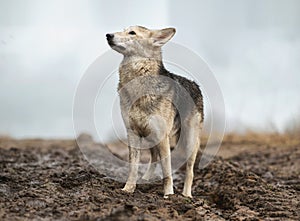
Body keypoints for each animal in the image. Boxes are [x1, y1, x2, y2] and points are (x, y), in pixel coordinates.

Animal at [106, 26, 204, 199]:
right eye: (123, 30)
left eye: (132, 32)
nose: (108, 35)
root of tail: (195, 84)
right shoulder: (132, 133)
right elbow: (133, 167)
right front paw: (128, 189)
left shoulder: (163, 137)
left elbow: (167, 172)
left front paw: (169, 195)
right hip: (151, 137)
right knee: (154, 157)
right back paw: (146, 178)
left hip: (189, 142)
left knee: (190, 170)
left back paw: (186, 195)